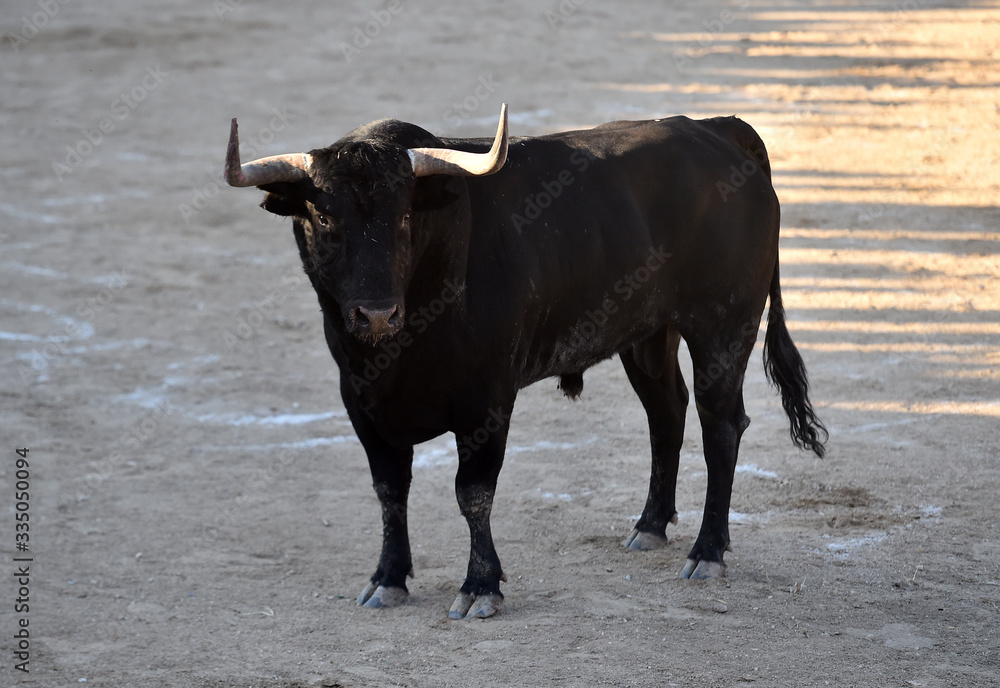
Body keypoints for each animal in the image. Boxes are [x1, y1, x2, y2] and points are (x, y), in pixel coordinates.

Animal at [227, 107, 828, 620]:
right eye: (322, 216)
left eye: (404, 215)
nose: (375, 314)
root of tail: (718, 129)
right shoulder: (361, 401)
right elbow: (389, 490)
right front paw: (388, 579)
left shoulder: (487, 400)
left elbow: (473, 493)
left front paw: (480, 587)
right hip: (648, 334)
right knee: (667, 415)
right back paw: (650, 526)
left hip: (722, 327)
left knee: (720, 426)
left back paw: (707, 553)